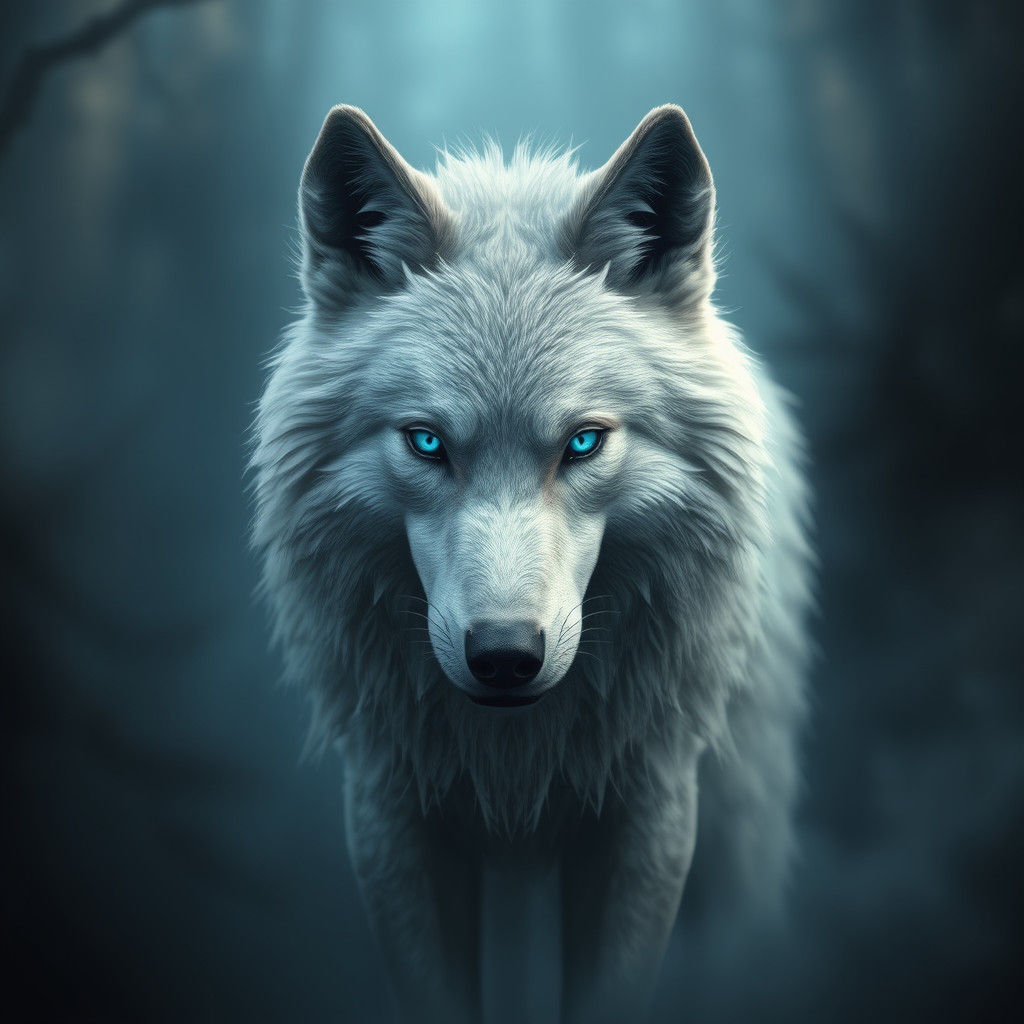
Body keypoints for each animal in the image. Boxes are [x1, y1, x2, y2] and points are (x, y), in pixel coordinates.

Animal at [251, 103, 813, 1024]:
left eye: (583, 442)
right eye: (427, 443)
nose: (505, 656)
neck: (516, 761)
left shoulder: (652, 811)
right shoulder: (390, 812)